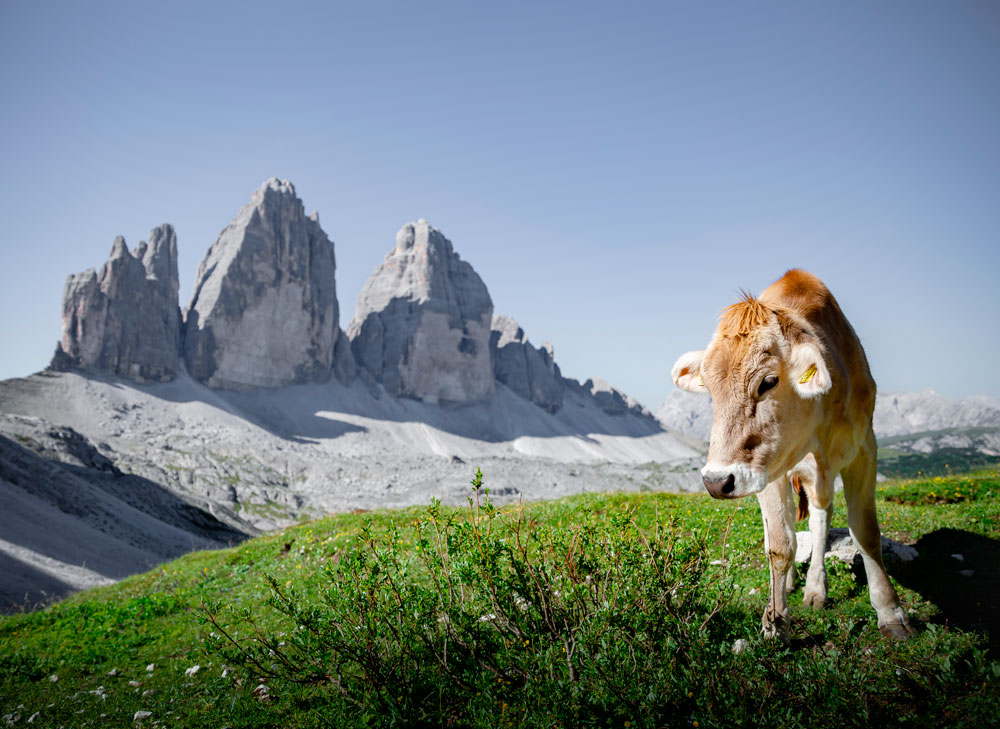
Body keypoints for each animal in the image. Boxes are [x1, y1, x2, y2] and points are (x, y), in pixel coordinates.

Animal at [672, 270, 916, 640]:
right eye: (710, 389)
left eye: (768, 381)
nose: (716, 481)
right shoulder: (766, 470)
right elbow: (779, 544)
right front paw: (775, 621)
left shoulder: (864, 449)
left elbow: (866, 533)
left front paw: (891, 613)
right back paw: (787, 585)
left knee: (820, 516)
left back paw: (815, 588)